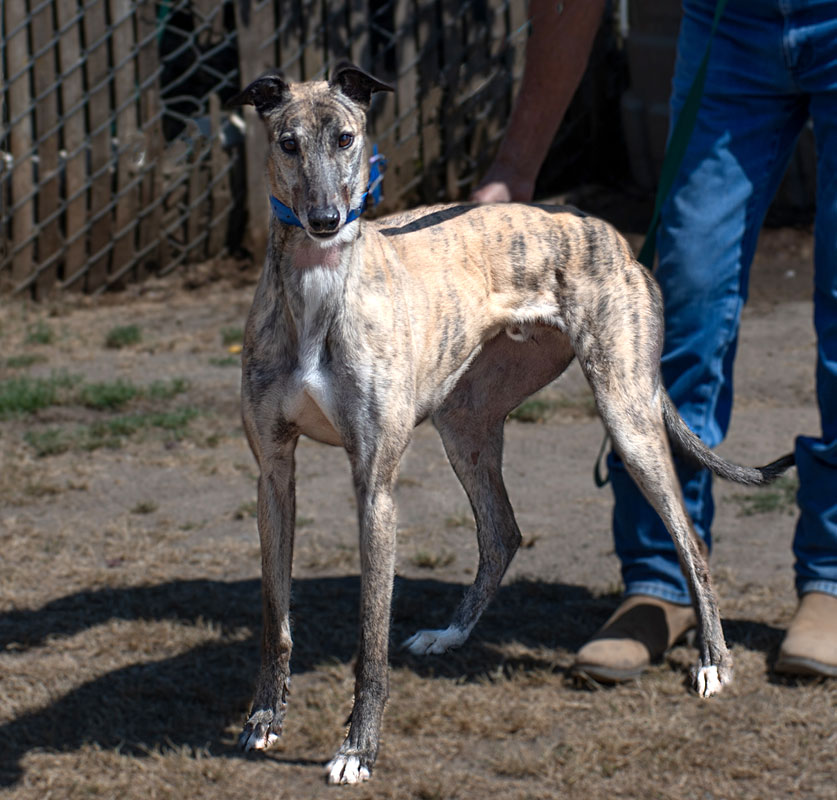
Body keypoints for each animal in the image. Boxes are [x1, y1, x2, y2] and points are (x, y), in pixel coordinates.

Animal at [227, 64, 792, 788]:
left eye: (346, 137)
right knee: (502, 532)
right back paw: (450, 633)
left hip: (627, 413)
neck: (320, 284)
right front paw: (265, 718)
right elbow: (276, 615)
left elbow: (370, 636)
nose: (324, 221)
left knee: (688, 539)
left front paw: (358, 749)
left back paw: (714, 662)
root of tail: (606, 232)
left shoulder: (374, 485)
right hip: (465, 421)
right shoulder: (273, 473)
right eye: (288, 142)